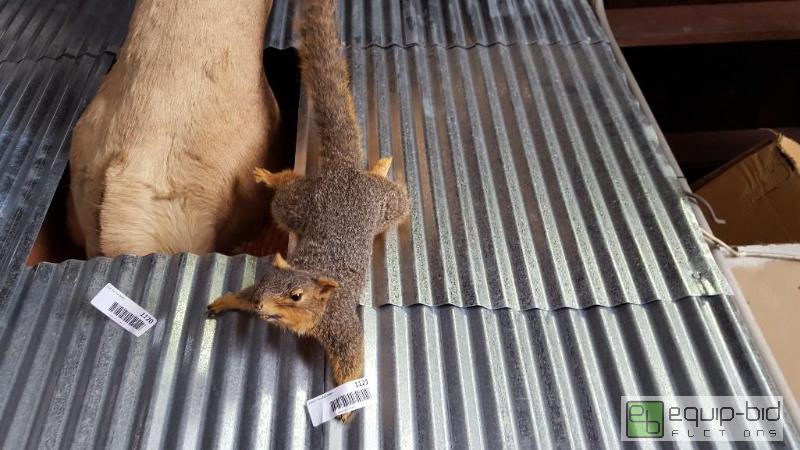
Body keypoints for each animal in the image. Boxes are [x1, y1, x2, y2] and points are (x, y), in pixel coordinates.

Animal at [206, 0, 410, 423]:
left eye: (297, 296)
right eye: (264, 281)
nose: (262, 307)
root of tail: (343, 174)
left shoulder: (341, 323)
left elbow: (351, 355)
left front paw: (347, 402)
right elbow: (241, 295)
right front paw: (230, 299)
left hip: (386, 204)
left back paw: (380, 167)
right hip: (297, 204)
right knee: (287, 186)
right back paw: (270, 175)